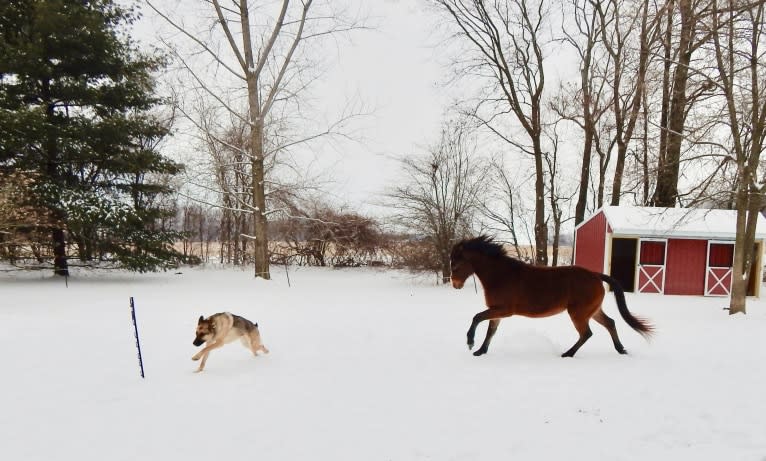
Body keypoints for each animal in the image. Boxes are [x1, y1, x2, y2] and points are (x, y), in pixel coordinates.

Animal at [450, 235, 656, 358]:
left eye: (456, 265)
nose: (455, 284)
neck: (501, 275)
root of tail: (596, 275)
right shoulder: (497, 311)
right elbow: (490, 331)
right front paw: (480, 351)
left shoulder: (504, 310)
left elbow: (477, 318)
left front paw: (470, 343)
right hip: (592, 310)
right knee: (610, 323)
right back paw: (621, 350)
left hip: (579, 313)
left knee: (587, 333)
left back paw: (567, 354)